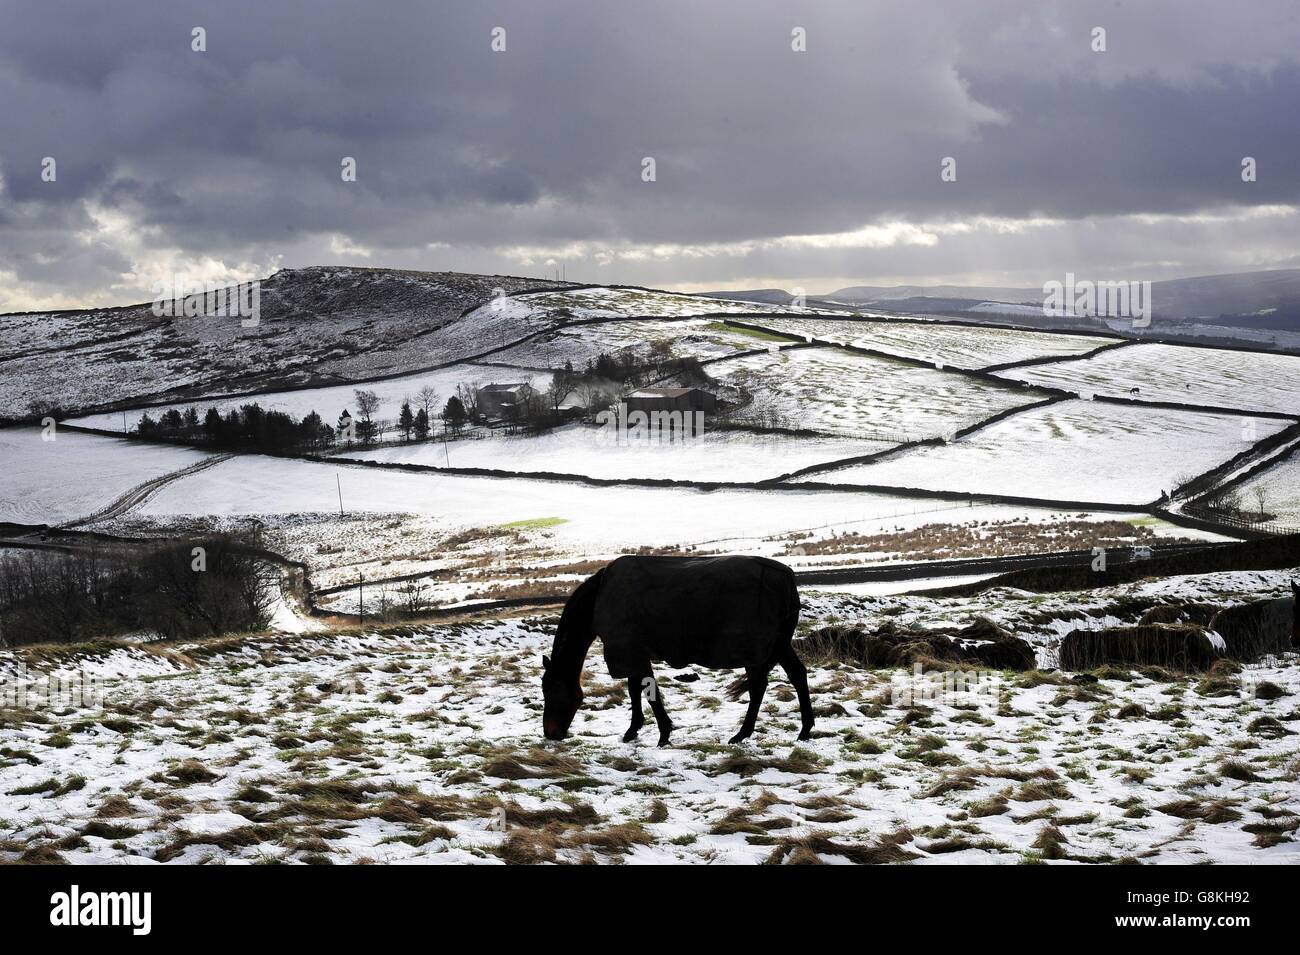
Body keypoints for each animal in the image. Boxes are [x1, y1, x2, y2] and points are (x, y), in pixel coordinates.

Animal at [540, 553, 811, 748]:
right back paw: (805, 730)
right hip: (779, 644)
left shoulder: (631, 652)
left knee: (758, 687)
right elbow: (637, 689)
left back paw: (742, 734)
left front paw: (662, 733)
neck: (598, 598)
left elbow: (647, 692)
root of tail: (786, 577)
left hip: (755, 650)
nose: (550, 733)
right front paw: (634, 730)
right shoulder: (634, 652)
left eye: (551, 690)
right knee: (797, 675)